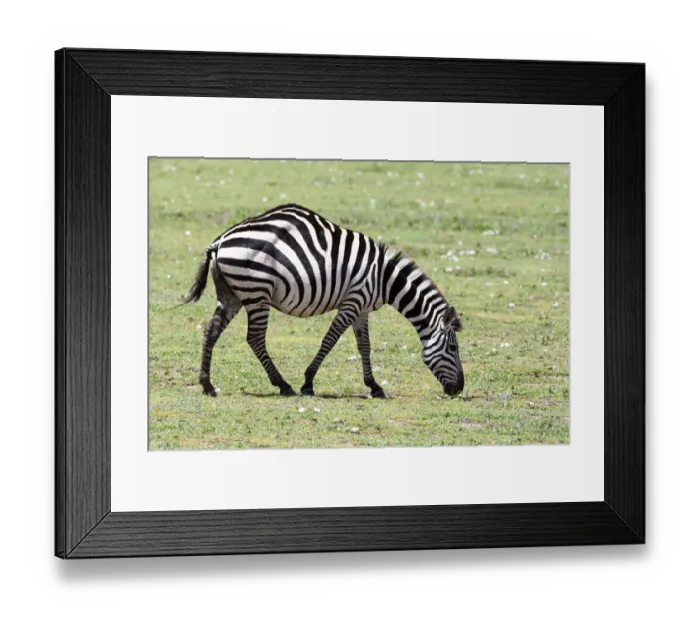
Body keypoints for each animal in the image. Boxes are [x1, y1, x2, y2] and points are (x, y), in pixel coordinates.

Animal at [182, 204, 465, 399]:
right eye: (453, 348)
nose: (459, 388)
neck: (384, 279)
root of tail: (219, 242)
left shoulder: (362, 308)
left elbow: (365, 346)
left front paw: (374, 386)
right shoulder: (354, 300)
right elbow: (330, 340)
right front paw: (307, 383)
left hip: (232, 295)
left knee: (211, 330)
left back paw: (207, 385)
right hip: (256, 293)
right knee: (255, 339)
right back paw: (283, 385)